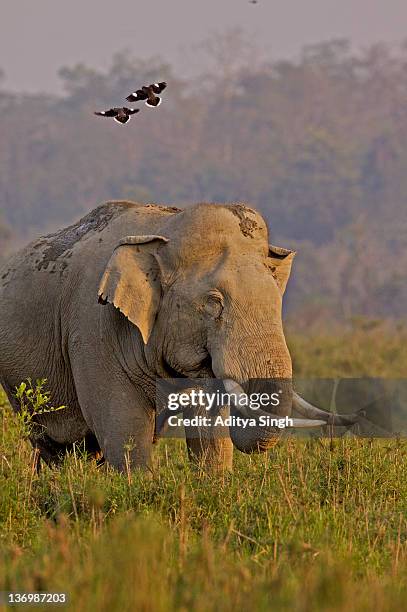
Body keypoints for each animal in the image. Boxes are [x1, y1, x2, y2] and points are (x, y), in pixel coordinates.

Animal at [0, 198, 356, 470]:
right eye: (214, 303)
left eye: (276, 300)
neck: (164, 231)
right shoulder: (92, 330)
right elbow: (125, 428)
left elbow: (209, 429)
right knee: (53, 446)